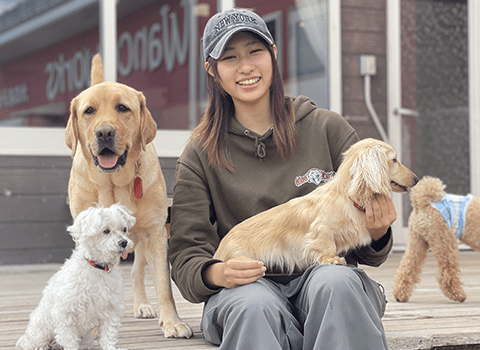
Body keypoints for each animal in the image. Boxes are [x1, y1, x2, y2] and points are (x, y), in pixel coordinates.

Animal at [16, 204, 135, 348]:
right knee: (33, 343)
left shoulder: (111, 310)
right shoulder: (64, 313)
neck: (98, 268)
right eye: (106, 231)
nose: (124, 242)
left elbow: (108, 336)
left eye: (124, 229)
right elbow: (69, 340)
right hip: (40, 332)